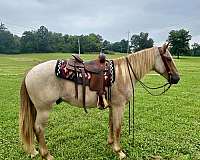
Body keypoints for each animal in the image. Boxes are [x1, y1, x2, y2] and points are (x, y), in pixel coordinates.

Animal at [19, 43, 180, 159]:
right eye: (168, 59)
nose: (177, 78)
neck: (123, 74)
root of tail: (30, 72)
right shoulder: (119, 106)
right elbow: (118, 127)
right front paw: (119, 151)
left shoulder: (113, 106)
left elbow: (111, 124)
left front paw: (111, 143)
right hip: (44, 109)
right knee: (39, 129)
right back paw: (46, 155)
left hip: (37, 109)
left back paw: (34, 151)